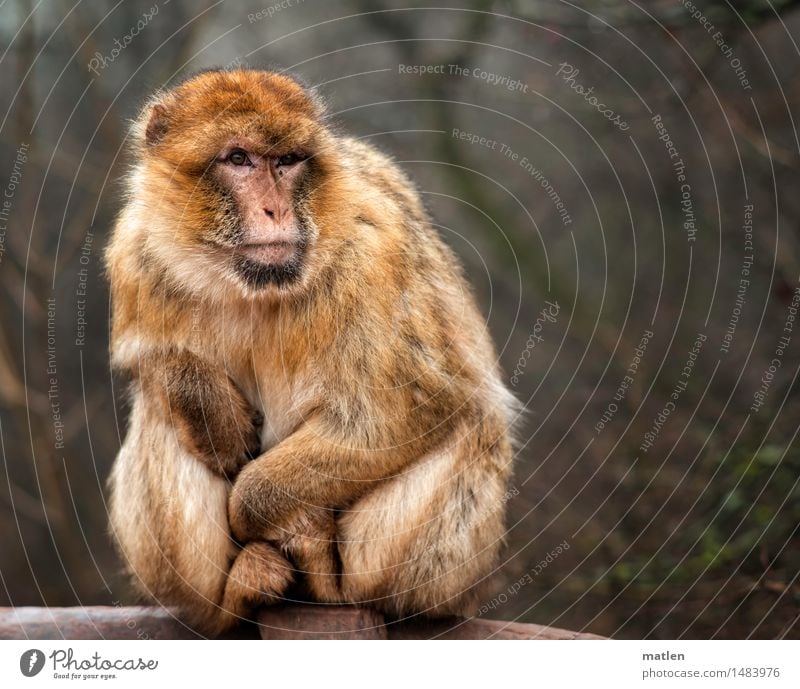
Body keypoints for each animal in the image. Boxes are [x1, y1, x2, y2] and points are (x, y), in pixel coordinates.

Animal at [104, 68, 520, 636]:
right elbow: (149, 360)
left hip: (426, 575)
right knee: (160, 413)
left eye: (288, 161)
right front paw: (205, 403)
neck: (248, 287)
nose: (276, 209)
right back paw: (233, 599)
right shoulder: (136, 249)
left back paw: (322, 573)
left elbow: (410, 408)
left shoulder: (372, 252)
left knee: (472, 421)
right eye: (239, 159)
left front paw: (255, 502)